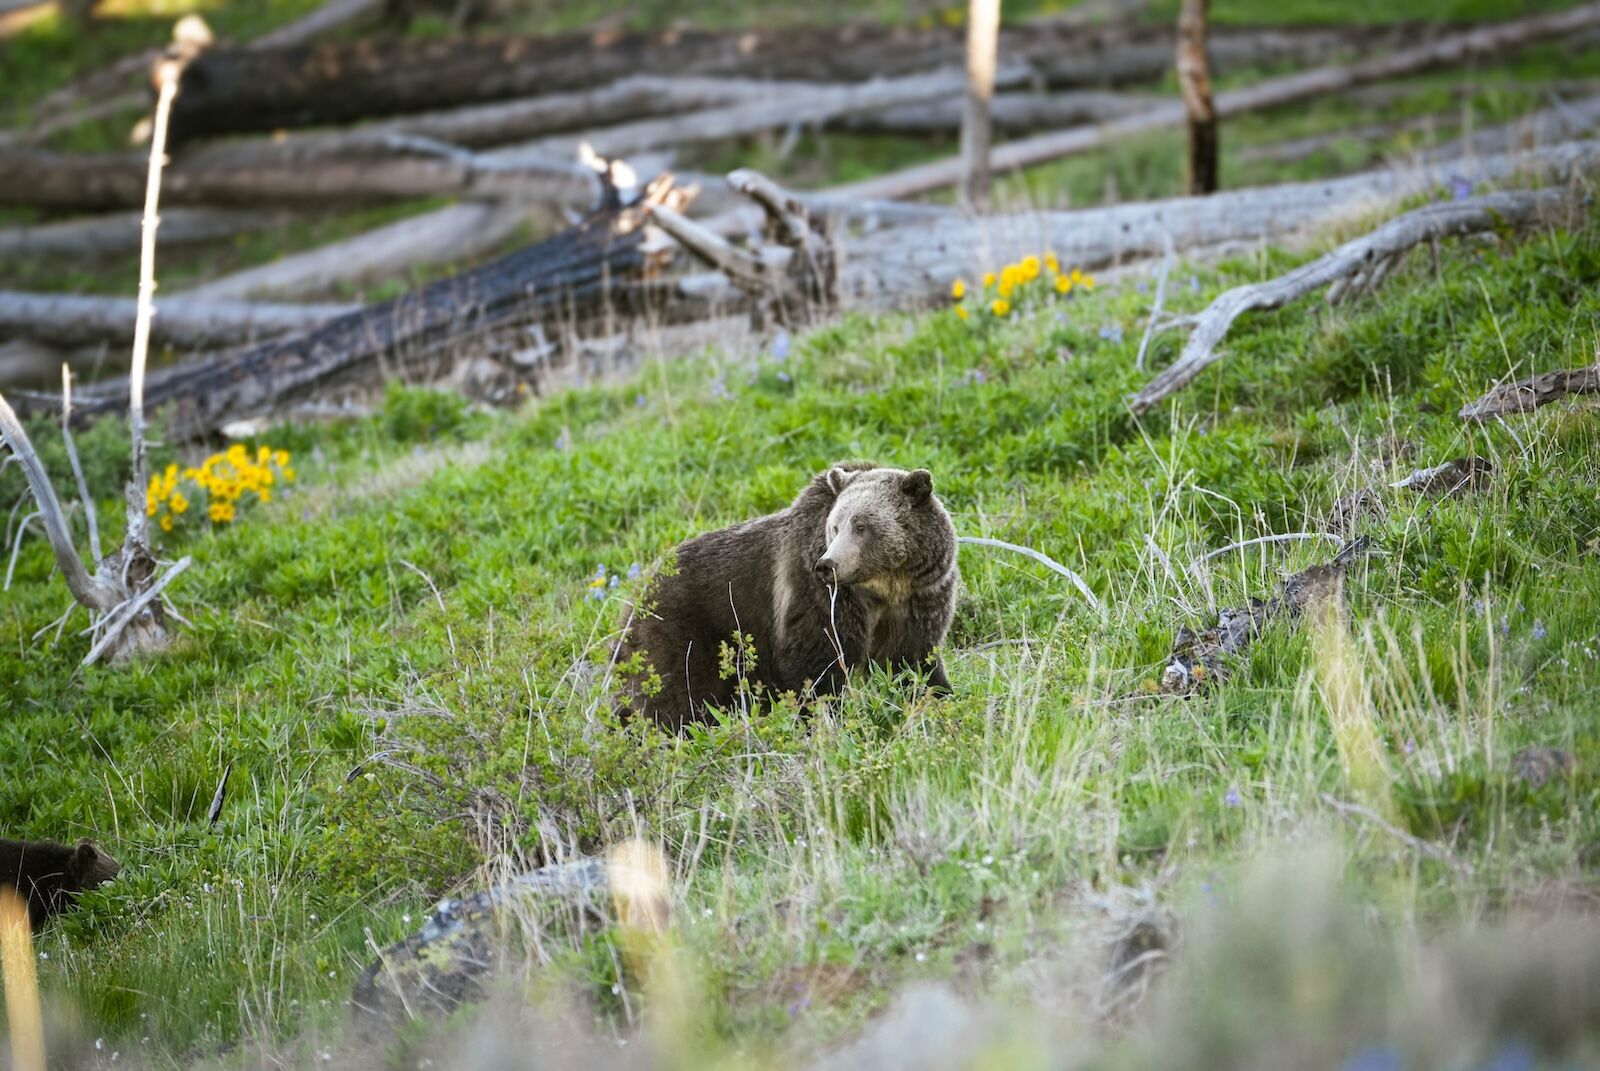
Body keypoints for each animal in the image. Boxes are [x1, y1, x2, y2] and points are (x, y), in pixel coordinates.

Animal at [614, 461, 953, 726]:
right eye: (835, 526)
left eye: (861, 526)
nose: (827, 565)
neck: (882, 587)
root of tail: (634, 594)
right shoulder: (819, 599)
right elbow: (816, 669)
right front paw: (825, 718)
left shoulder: (917, 600)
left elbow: (913, 662)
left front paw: (939, 697)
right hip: (682, 630)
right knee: (677, 695)